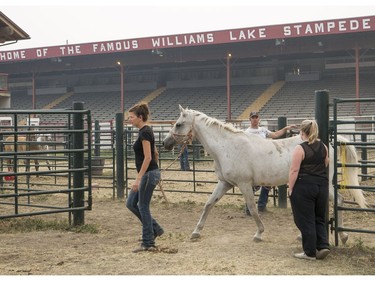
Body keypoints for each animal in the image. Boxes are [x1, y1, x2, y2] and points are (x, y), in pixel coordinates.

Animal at [163, 105, 368, 243]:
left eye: (179, 124)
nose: (165, 143)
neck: (227, 147)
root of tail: (329, 143)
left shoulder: (244, 184)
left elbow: (253, 209)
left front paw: (259, 233)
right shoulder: (225, 183)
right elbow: (208, 205)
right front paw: (196, 232)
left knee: (338, 200)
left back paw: (341, 236)